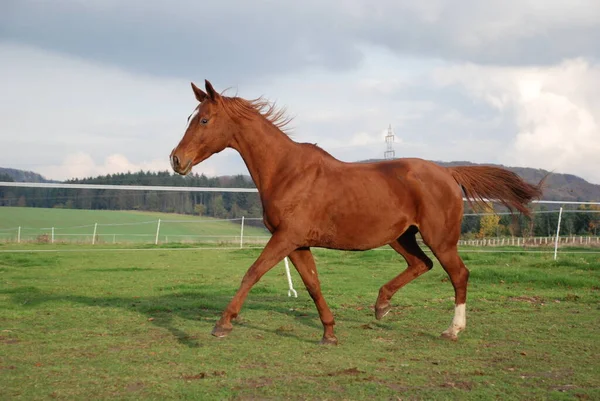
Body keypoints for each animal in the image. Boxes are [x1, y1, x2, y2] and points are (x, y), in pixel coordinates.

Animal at [169, 79, 544, 344]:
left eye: (204, 120)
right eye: (189, 118)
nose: (176, 159)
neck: (287, 171)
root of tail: (448, 173)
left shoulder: (286, 237)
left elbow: (252, 272)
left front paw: (222, 324)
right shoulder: (298, 242)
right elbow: (313, 284)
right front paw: (329, 333)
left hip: (440, 238)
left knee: (458, 274)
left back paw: (452, 330)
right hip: (401, 237)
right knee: (420, 264)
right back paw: (381, 306)